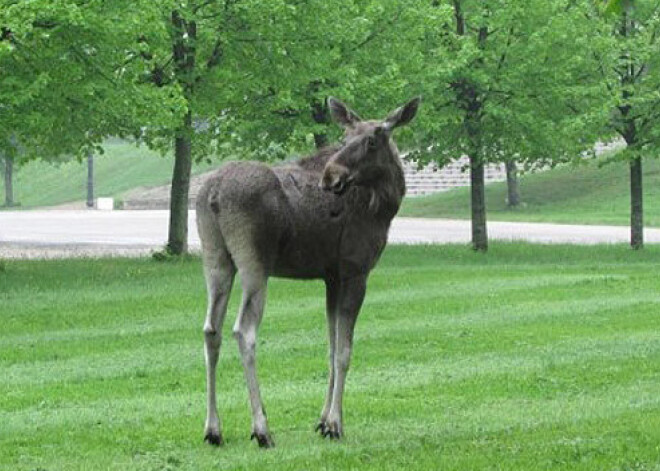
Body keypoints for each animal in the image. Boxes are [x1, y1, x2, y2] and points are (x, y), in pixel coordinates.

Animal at [196, 94, 420, 448]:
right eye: (344, 137)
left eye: (371, 140)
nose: (331, 177)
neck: (385, 205)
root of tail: (214, 193)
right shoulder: (356, 270)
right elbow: (344, 350)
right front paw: (336, 424)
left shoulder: (331, 276)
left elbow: (330, 346)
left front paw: (322, 421)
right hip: (254, 264)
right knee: (243, 330)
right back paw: (262, 428)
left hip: (216, 259)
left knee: (210, 329)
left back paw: (213, 429)